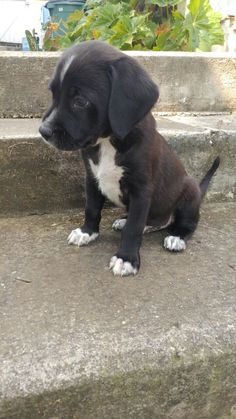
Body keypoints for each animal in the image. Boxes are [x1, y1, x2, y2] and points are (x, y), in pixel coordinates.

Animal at [40, 41, 219, 278]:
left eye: (80, 101)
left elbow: (134, 227)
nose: (43, 131)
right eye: (53, 94)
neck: (108, 141)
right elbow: (92, 208)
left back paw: (176, 236)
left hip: (189, 193)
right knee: (155, 221)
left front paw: (126, 258)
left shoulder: (141, 190)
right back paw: (127, 221)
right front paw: (87, 232)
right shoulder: (92, 178)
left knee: (186, 223)